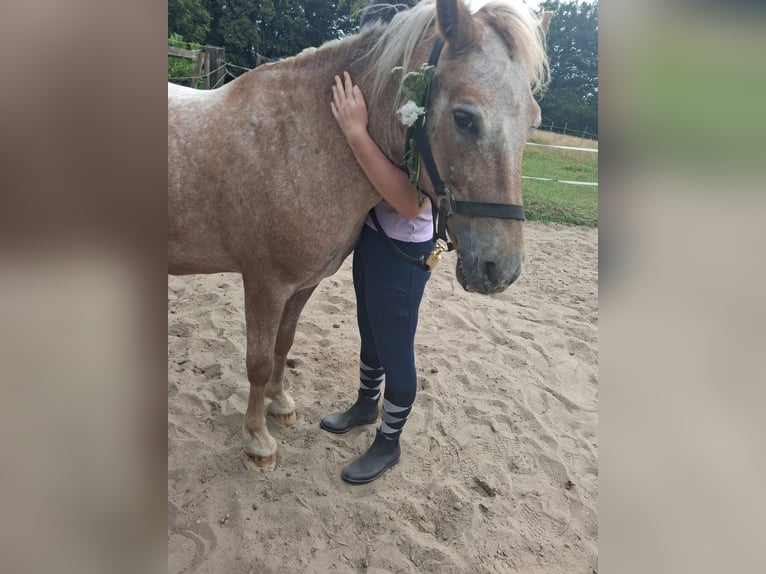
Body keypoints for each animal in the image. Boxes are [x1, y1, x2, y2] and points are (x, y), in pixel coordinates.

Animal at [168, 0, 551, 471]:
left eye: (532, 122)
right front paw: (258, 441)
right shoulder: (265, 285)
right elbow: (257, 361)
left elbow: (283, 345)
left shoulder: (302, 284)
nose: (501, 269)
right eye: (464, 118)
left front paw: (280, 405)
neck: (306, 138)